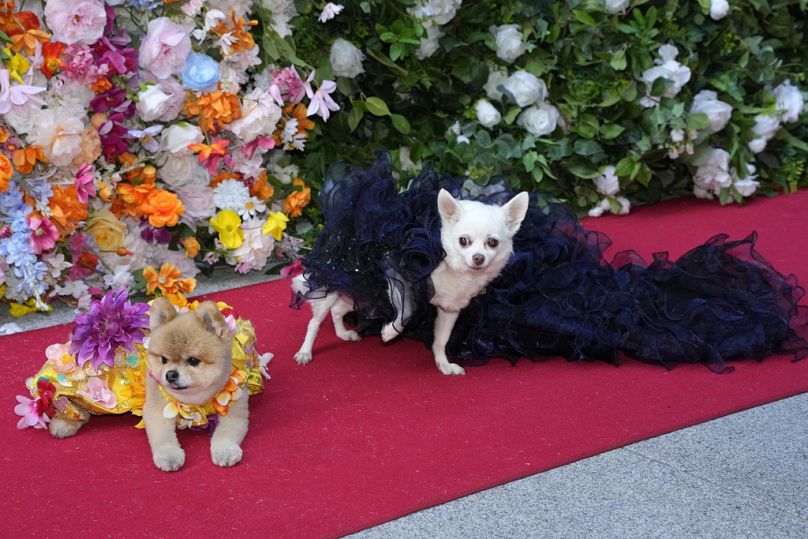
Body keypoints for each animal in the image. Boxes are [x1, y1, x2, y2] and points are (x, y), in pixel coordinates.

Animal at [292, 190, 532, 376]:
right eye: (464, 241)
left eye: (492, 243)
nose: (478, 258)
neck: (449, 264)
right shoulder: (396, 273)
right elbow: (407, 309)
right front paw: (389, 332)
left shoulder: (450, 309)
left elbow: (441, 340)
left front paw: (443, 364)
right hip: (335, 283)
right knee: (315, 321)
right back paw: (305, 351)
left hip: (359, 292)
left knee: (337, 310)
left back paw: (343, 333)